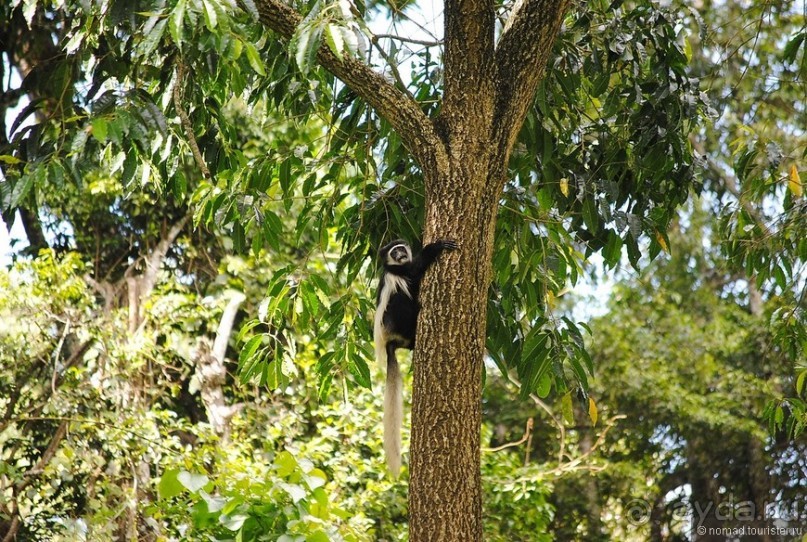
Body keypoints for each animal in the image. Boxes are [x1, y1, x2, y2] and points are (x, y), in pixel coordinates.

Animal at [376, 239, 458, 476]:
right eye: (394, 252)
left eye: (401, 249)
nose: (401, 255)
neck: (395, 266)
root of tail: (390, 343)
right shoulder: (398, 272)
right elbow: (413, 272)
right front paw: (434, 247)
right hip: (393, 321)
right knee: (399, 298)